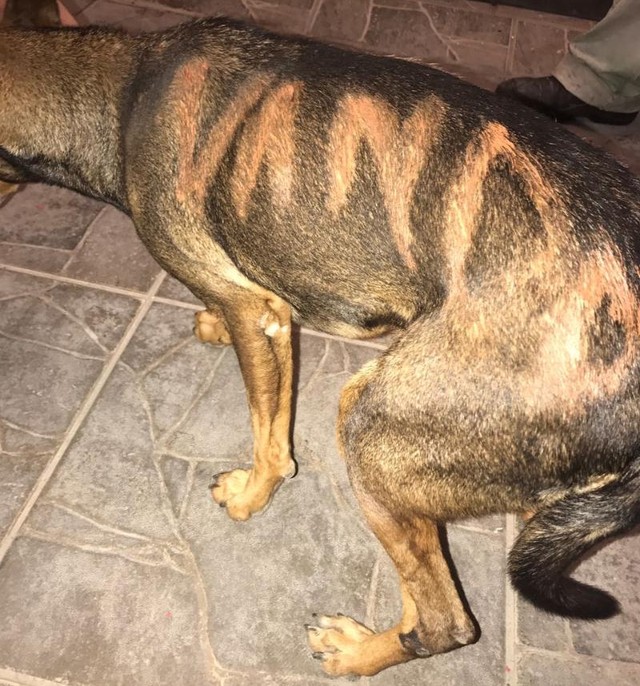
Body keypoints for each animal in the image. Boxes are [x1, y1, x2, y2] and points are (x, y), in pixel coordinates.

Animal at [1, 16, 640, 677]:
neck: (126, 92)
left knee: (448, 622)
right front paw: (211, 326)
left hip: (370, 430)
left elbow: (270, 437)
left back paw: (356, 652)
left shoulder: (259, 315)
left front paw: (251, 494)